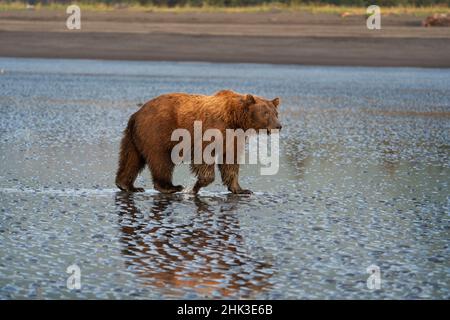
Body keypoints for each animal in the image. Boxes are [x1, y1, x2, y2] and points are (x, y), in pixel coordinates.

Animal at [114, 90, 280, 195]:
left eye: (276, 113)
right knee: (161, 160)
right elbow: (204, 156)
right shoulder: (211, 129)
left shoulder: (234, 136)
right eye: (266, 113)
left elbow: (230, 161)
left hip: (135, 137)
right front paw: (194, 187)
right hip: (158, 131)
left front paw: (241, 189)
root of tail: (136, 114)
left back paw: (127, 185)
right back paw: (171, 187)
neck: (235, 118)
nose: (278, 125)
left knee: (131, 159)